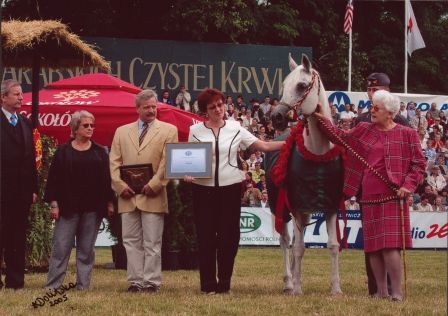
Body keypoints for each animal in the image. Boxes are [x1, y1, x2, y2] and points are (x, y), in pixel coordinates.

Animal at [266, 53, 344, 294]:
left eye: (301, 86)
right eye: (283, 86)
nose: (277, 116)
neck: (317, 153)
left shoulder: (330, 208)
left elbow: (333, 245)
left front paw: (336, 289)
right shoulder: (297, 208)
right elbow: (298, 247)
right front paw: (298, 288)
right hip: (280, 209)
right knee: (285, 241)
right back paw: (289, 282)